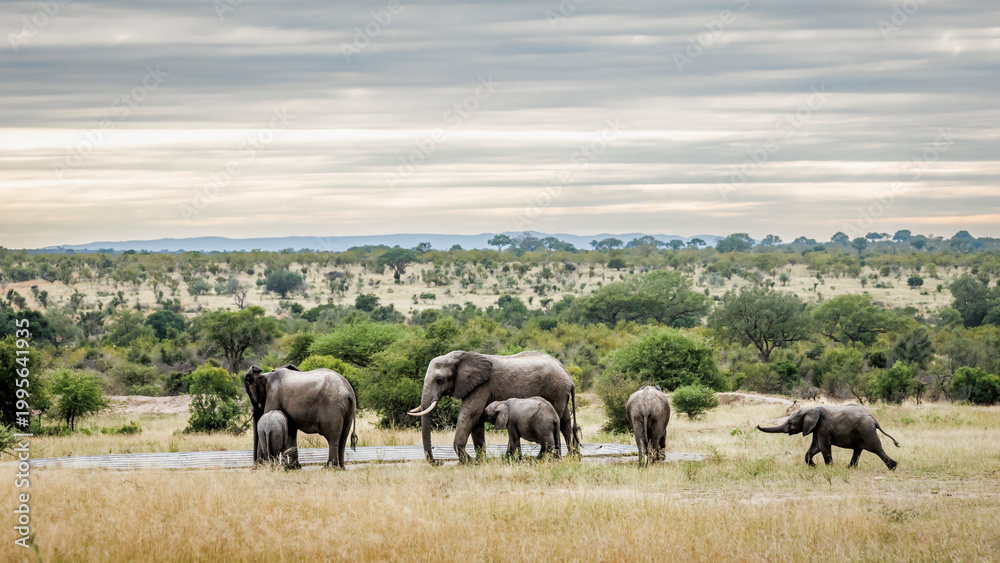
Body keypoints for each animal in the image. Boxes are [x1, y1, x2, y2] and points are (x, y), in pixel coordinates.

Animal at [408, 350, 580, 464]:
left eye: (439, 380)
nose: (438, 462)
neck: (461, 356)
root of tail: (569, 377)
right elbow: (476, 422)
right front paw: (480, 461)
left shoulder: (481, 387)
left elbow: (470, 415)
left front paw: (469, 462)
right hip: (561, 394)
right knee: (565, 422)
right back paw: (573, 456)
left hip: (555, 391)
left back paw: (544, 459)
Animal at [756, 404, 900, 470]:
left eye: (790, 423)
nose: (757, 425)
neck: (810, 409)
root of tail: (874, 419)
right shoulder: (816, 428)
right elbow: (815, 447)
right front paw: (814, 466)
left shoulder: (823, 427)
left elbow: (823, 446)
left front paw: (829, 468)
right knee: (858, 450)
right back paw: (849, 468)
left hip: (867, 431)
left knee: (876, 449)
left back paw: (893, 467)